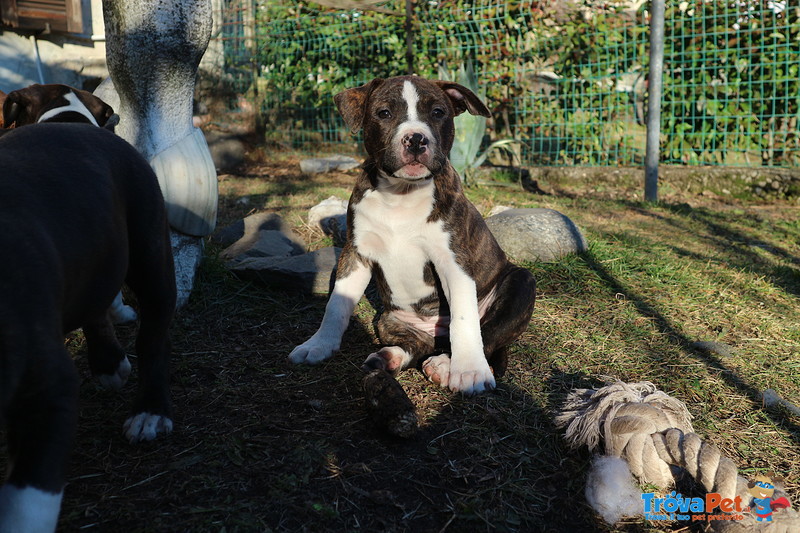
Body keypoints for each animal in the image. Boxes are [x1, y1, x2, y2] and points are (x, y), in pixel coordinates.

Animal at [290, 76, 536, 394]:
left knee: (488, 333)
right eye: (384, 113)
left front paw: (469, 370)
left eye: (438, 112)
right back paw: (389, 357)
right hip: (388, 317)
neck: (401, 194)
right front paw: (318, 345)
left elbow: (464, 318)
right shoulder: (355, 253)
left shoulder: (453, 260)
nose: (417, 139)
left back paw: (445, 364)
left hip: (521, 282)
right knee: (420, 344)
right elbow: (336, 305)